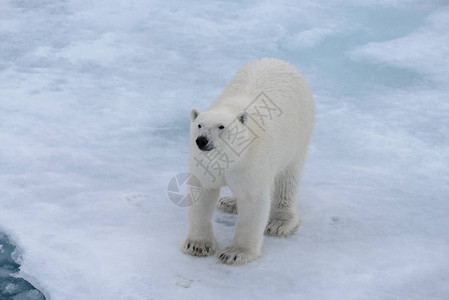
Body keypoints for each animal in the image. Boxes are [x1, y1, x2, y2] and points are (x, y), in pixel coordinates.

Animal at [180, 57, 314, 264]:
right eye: (199, 125)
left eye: (221, 127)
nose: (202, 140)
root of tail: (279, 61)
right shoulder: (205, 163)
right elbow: (202, 192)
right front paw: (197, 245)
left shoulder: (252, 161)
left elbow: (252, 200)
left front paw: (235, 253)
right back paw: (230, 202)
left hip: (299, 133)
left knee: (288, 177)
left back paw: (279, 222)